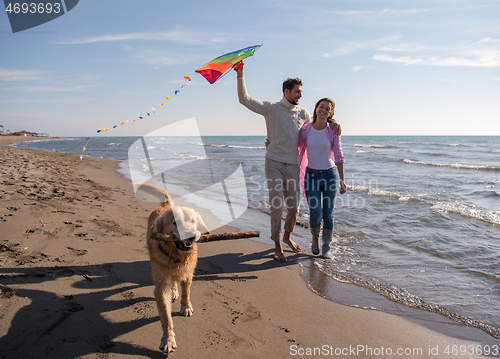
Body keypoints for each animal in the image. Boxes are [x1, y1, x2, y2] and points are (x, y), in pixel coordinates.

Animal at [141, 186, 209, 354]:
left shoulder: (188, 273)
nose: (192, 236)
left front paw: (186, 307)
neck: (176, 255)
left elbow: (186, 292)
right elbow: (166, 315)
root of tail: (166, 205)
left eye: (193, 221)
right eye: (175, 222)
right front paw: (168, 339)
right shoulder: (161, 284)